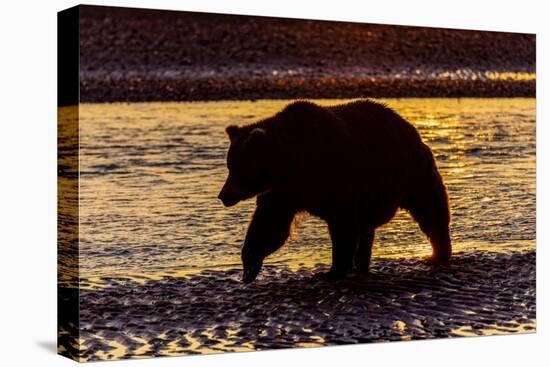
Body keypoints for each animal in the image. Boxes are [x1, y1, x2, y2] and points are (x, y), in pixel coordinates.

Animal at [220, 99, 452, 284]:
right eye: (230, 166)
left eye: (239, 169)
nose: (223, 196)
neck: (292, 163)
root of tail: (409, 126)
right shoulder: (284, 192)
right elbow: (269, 224)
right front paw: (249, 266)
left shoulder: (336, 177)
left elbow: (342, 227)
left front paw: (331, 271)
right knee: (368, 228)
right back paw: (362, 264)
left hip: (408, 172)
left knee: (429, 207)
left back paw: (439, 253)